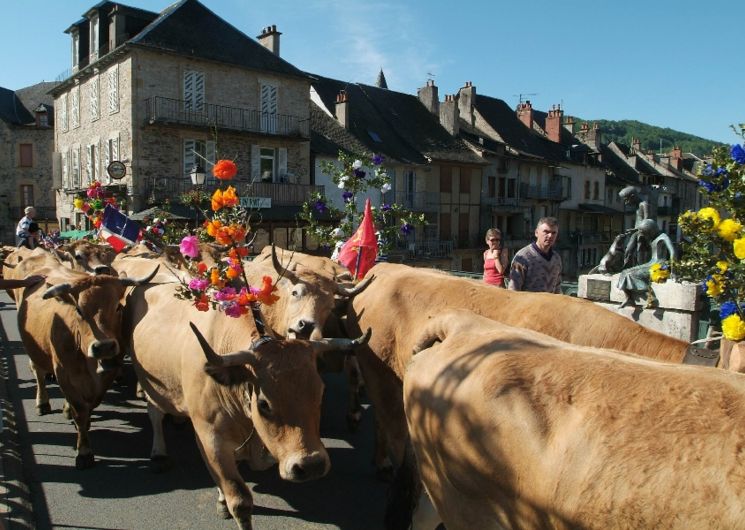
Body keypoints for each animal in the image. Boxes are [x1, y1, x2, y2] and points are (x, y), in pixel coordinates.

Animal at [16, 260, 155, 466]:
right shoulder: (64, 374)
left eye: (118, 307)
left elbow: (91, 403)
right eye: (79, 310)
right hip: (34, 350)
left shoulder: (107, 373)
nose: (104, 346)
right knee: (39, 374)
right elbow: (80, 411)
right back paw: (42, 403)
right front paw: (84, 452)